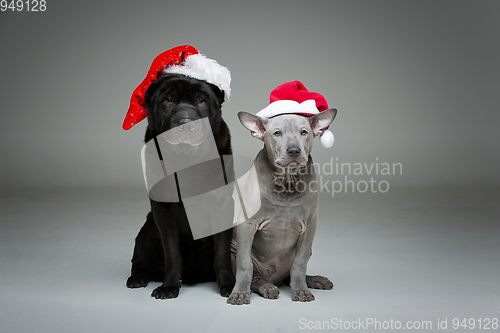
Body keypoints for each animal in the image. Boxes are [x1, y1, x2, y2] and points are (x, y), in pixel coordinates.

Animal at [125, 73, 234, 298]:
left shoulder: (222, 205)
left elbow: (222, 253)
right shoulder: (163, 211)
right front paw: (169, 286)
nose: (185, 123)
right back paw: (137, 278)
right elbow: (172, 253)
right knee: (138, 261)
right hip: (148, 231)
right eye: (169, 100)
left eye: (201, 100)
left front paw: (229, 284)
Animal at [229, 108, 338, 304]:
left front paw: (301, 290)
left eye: (304, 132)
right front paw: (239, 293)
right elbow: (244, 265)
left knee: (290, 276)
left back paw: (315, 280)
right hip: (234, 248)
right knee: (255, 277)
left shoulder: (310, 227)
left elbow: (299, 264)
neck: (287, 180)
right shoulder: (246, 225)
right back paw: (266, 287)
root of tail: (274, 278)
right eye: (277, 133)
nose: (294, 150)